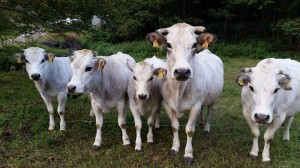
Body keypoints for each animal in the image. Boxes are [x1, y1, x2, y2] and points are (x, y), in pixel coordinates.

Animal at [146, 23, 224, 164]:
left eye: (194, 45)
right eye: (169, 45)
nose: (182, 71)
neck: (179, 90)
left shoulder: (195, 106)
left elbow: (189, 130)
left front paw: (188, 154)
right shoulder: (167, 104)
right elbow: (175, 126)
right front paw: (175, 148)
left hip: (213, 98)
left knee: (209, 111)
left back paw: (206, 127)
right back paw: (201, 122)